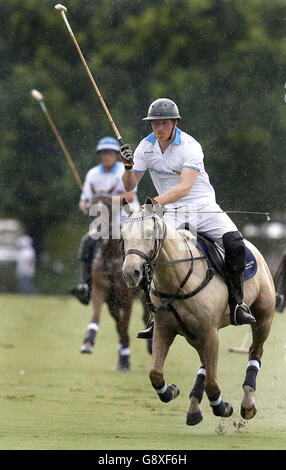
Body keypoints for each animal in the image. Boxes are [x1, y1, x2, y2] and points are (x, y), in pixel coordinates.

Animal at [79, 193, 151, 370]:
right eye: (92, 210)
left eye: (108, 209)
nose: (97, 232)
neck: (110, 256)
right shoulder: (102, 291)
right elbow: (99, 316)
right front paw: (88, 342)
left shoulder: (127, 298)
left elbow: (124, 326)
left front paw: (125, 359)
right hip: (113, 301)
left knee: (145, 316)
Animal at [121, 198, 274, 426]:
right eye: (122, 234)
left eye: (149, 233)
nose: (131, 273)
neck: (176, 279)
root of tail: (254, 248)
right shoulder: (164, 329)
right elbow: (155, 373)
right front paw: (171, 391)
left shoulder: (210, 332)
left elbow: (212, 382)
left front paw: (222, 407)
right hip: (193, 334)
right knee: (204, 364)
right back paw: (194, 407)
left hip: (264, 316)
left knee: (255, 352)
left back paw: (247, 403)